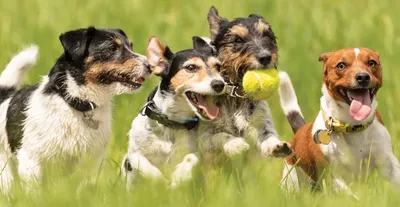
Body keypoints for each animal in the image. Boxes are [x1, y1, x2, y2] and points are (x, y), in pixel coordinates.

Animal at [0, 26, 150, 193]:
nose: (150, 66)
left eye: (131, 46)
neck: (77, 104)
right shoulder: (31, 161)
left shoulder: (92, 162)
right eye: (111, 48)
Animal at [122, 36, 227, 189]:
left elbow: (192, 157)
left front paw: (179, 176)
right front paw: (159, 180)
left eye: (218, 67)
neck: (171, 122)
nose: (219, 84)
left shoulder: (197, 151)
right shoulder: (132, 155)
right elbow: (139, 160)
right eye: (191, 67)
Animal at [195, 6, 292, 168]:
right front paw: (234, 144)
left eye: (267, 35)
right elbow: (220, 135)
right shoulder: (204, 137)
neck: (237, 96)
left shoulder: (262, 123)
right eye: (238, 39)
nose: (265, 57)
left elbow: (268, 136)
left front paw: (276, 146)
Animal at [280, 47, 400, 197]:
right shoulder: (331, 176)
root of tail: (299, 131)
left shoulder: (387, 161)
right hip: (291, 181)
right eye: (341, 65)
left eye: (372, 62)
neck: (353, 125)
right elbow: (351, 196)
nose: (363, 77)